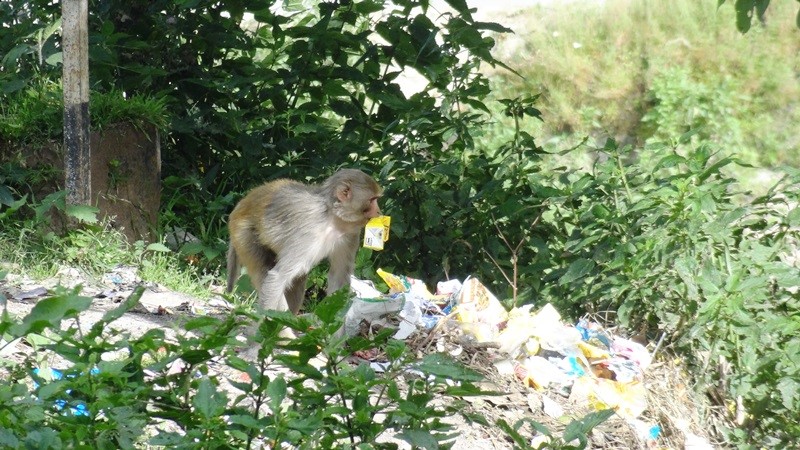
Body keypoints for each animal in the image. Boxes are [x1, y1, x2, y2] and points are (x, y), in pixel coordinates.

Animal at [227, 169, 382, 330]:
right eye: (372, 200)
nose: (379, 212)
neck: (331, 217)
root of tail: (242, 205)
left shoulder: (349, 234)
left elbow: (339, 278)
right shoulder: (308, 232)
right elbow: (276, 278)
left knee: (297, 281)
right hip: (243, 235)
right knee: (268, 275)